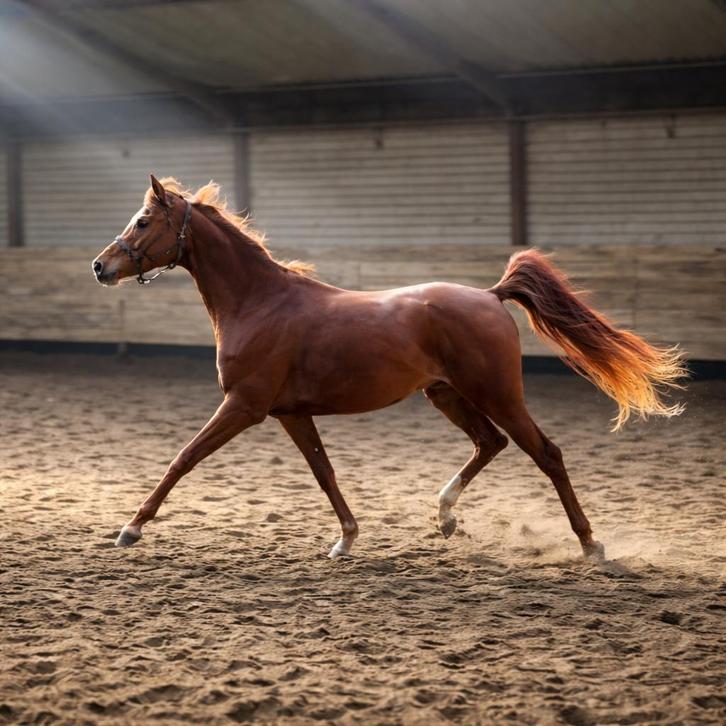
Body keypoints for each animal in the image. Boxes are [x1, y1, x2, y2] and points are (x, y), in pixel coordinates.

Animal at [92, 175, 686, 561]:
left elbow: (183, 459)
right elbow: (324, 472)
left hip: (497, 393)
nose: (100, 266)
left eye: (143, 221)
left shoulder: (244, 405)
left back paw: (590, 543)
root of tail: (490, 296)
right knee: (490, 443)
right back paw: (445, 517)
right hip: (446, 394)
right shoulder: (289, 413)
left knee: (546, 453)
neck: (260, 302)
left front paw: (130, 529)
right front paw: (346, 539)